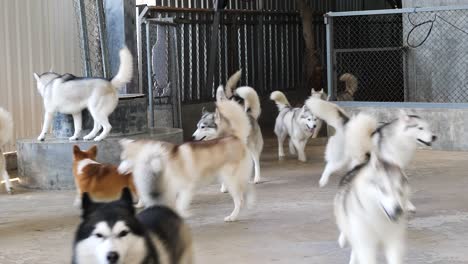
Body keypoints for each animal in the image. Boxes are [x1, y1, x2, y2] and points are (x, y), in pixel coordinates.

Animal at [119, 100, 254, 222]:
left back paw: (233, 216)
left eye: (125, 158)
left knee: (239, 200)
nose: (118, 170)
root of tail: (235, 137)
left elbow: (179, 205)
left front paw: (183, 214)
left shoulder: (187, 188)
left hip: (231, 179)